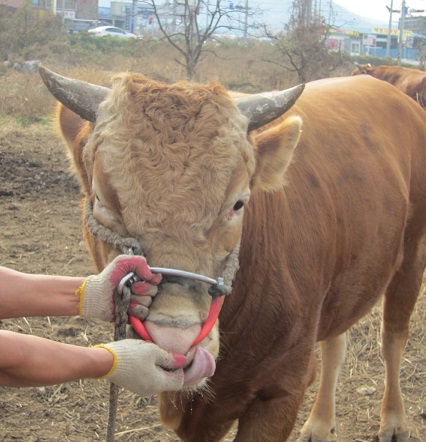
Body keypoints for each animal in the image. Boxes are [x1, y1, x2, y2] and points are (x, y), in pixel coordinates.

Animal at [40, 65, 426, 442]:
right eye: (101, 200)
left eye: (238, 204)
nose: (175, 339)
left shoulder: (283, 388)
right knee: (336, 342)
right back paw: (319, 423)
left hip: (411, 257)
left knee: (392, 339)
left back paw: (393, 420)